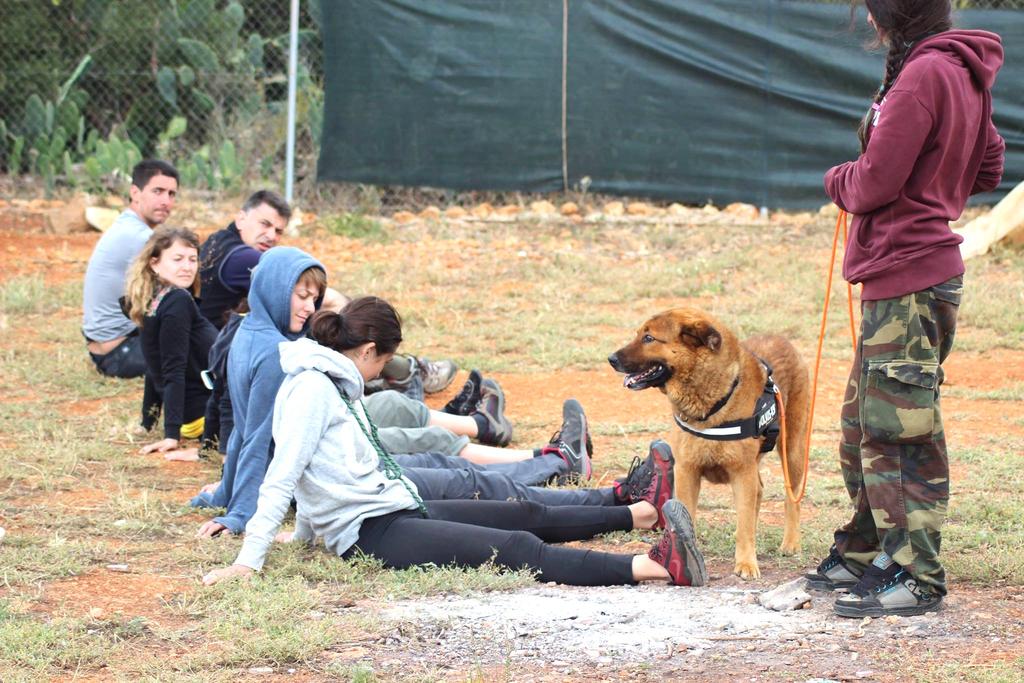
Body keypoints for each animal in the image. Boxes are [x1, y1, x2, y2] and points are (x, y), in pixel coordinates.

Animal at [606, 307, 806, 581]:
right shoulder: (687, 471)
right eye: (639, 334)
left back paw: (791, 542)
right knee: (759, 492)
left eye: (649, 338)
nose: (611, 358)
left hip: (792, 452)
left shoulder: (741, 472)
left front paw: (746, 562)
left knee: (791, 499)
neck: (712, 404)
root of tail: (781, 339)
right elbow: (690, 513)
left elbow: (745, 523)